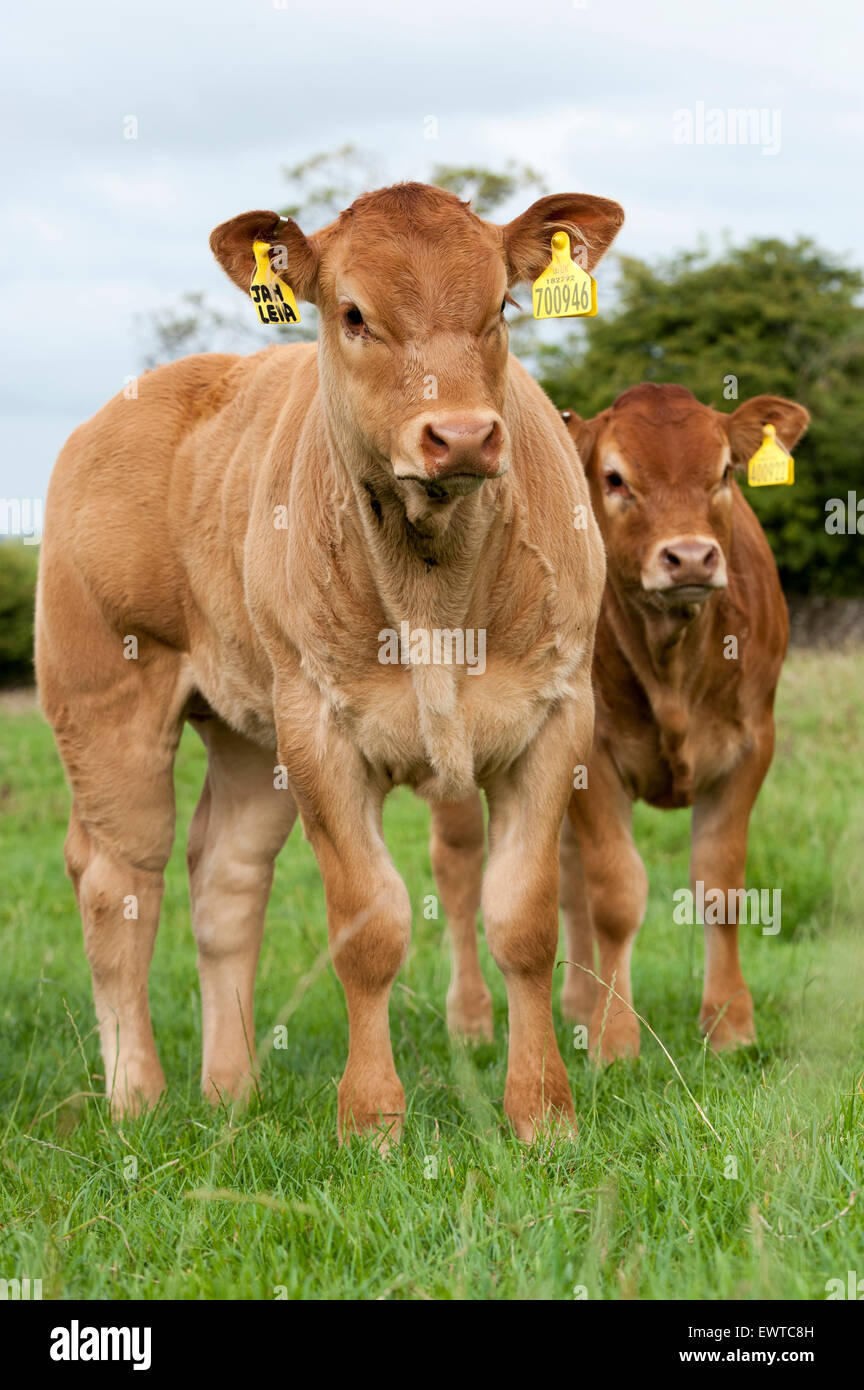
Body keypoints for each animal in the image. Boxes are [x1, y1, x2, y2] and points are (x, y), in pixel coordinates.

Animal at [35, 184, 622, 1139]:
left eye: (500, 307)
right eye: (353, 314)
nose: (462, 435)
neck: (433, 588)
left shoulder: (557, 717)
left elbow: (524, 923)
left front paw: (542, 1112)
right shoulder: (320, 732)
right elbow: (370, 927)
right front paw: (373, 1119)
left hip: (249, 732)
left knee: (225, 878)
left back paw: (230, 1088)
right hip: (108, 700)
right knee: (117, 880)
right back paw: (136, 1095)